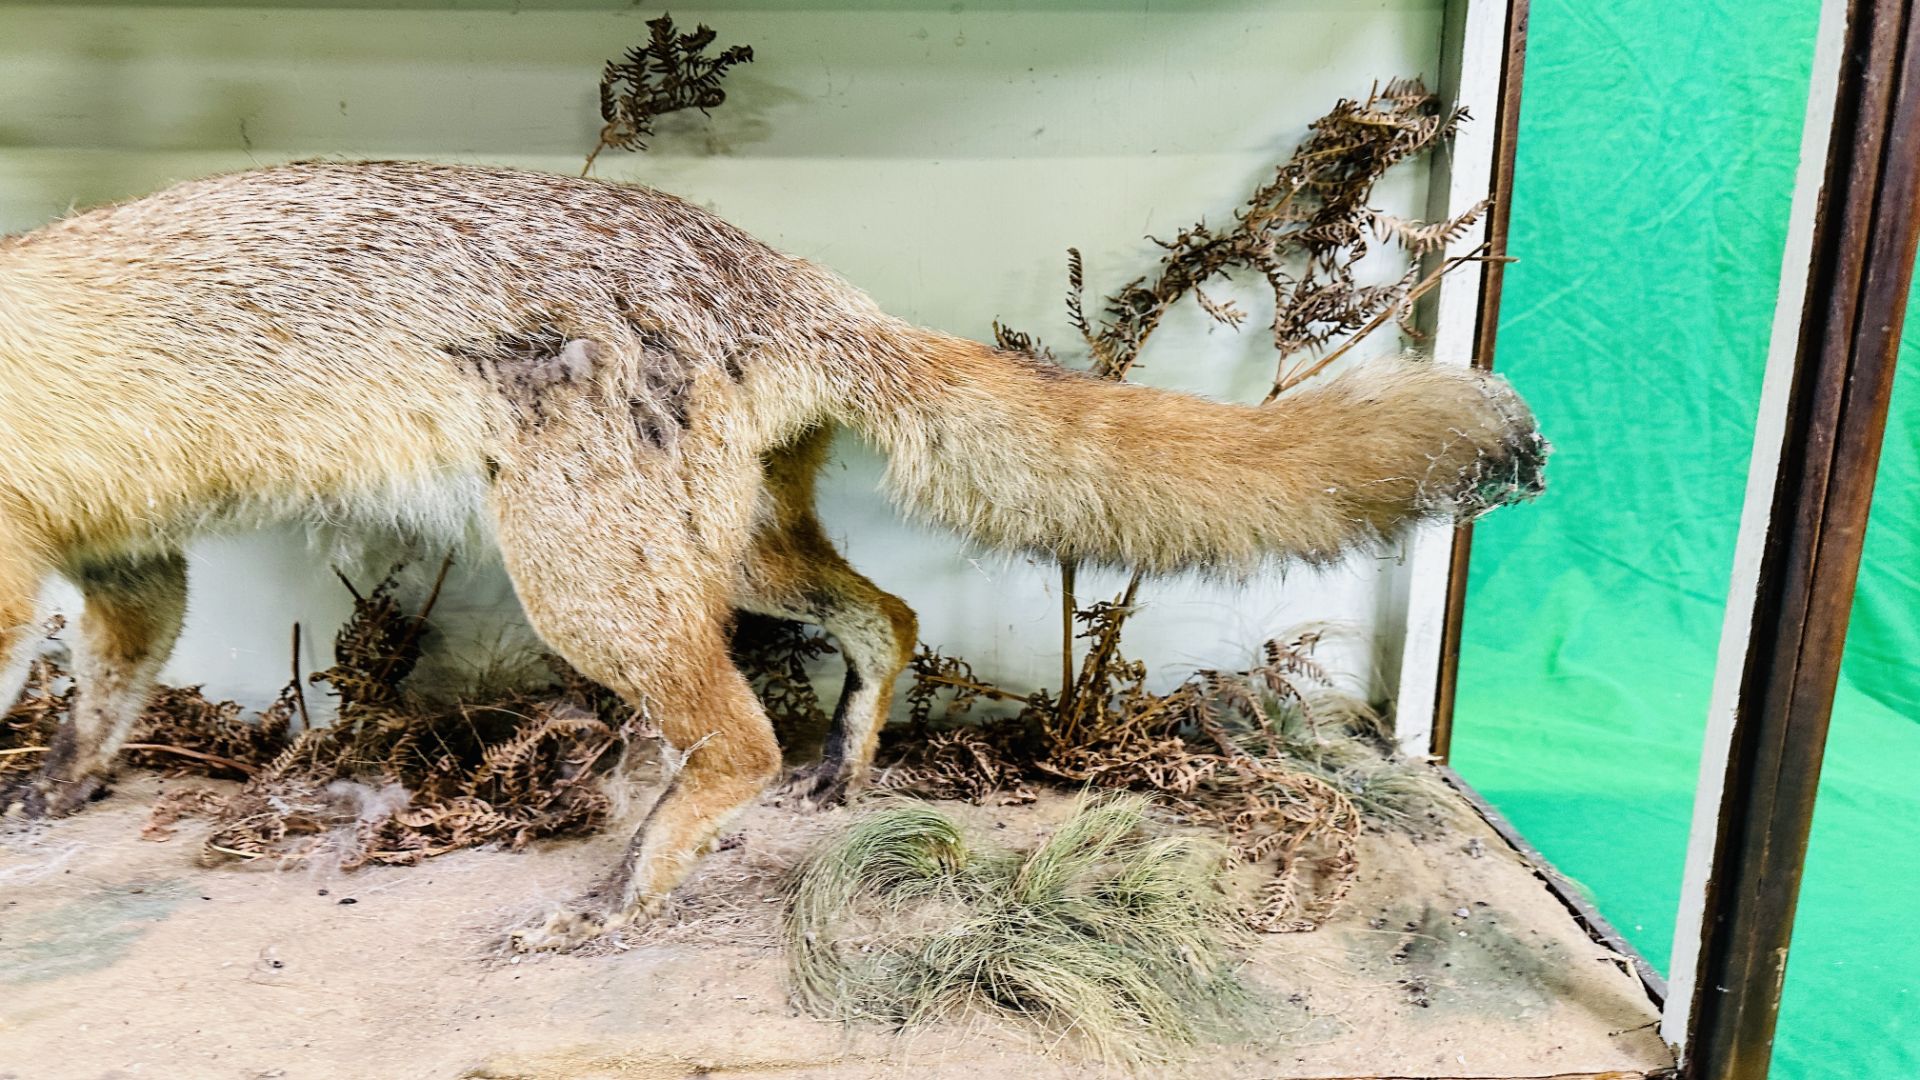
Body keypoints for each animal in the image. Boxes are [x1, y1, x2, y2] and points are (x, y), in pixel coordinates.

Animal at [0, 164, 1536, 945]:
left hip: (589, 577)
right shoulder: (126, 558)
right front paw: (63, 788)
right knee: (888, 616)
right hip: (726, 558)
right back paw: (845, 764)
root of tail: (791, 276)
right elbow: (107, 695)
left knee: (736, 730)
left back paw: (624, 900)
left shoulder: (26, 567)